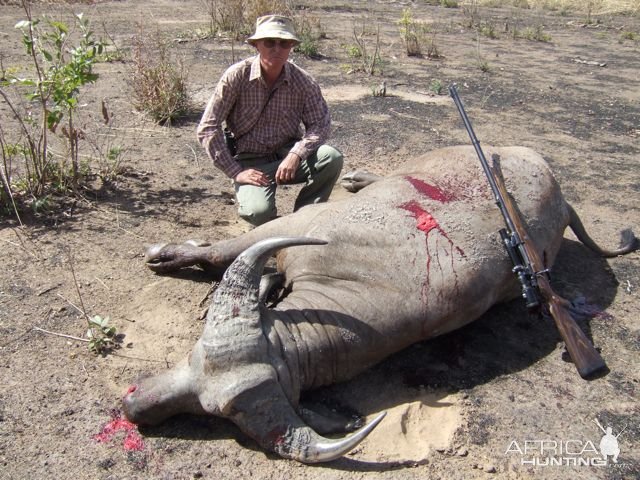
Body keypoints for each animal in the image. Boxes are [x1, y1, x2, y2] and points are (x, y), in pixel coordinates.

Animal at [122, 145, 636, 462]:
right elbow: (223, 250)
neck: (344, 286)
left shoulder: (293, 229)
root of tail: (563, 198)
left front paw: (165, 254)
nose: (133, 407)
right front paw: (170, 255)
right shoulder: (294, 227)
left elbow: (219, 251)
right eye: (192, 357)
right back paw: (359, 178)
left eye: (212, 411)